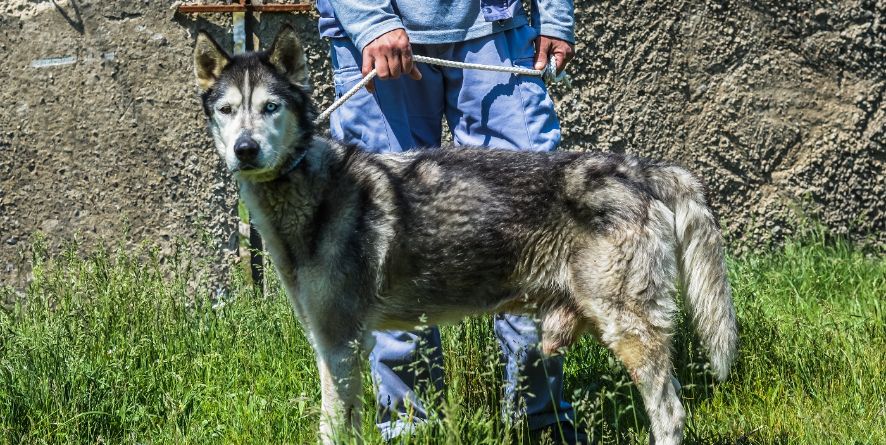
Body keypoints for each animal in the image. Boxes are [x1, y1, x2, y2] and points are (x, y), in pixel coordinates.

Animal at [194, 26, 744, 440]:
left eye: (271, 108)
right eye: (227, 111)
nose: (245, 149)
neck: (310, 189)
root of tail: (639, 169)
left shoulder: (339, 345)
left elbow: (333, 428)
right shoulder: (339, 345)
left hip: (628, 330)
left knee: (670, 414)